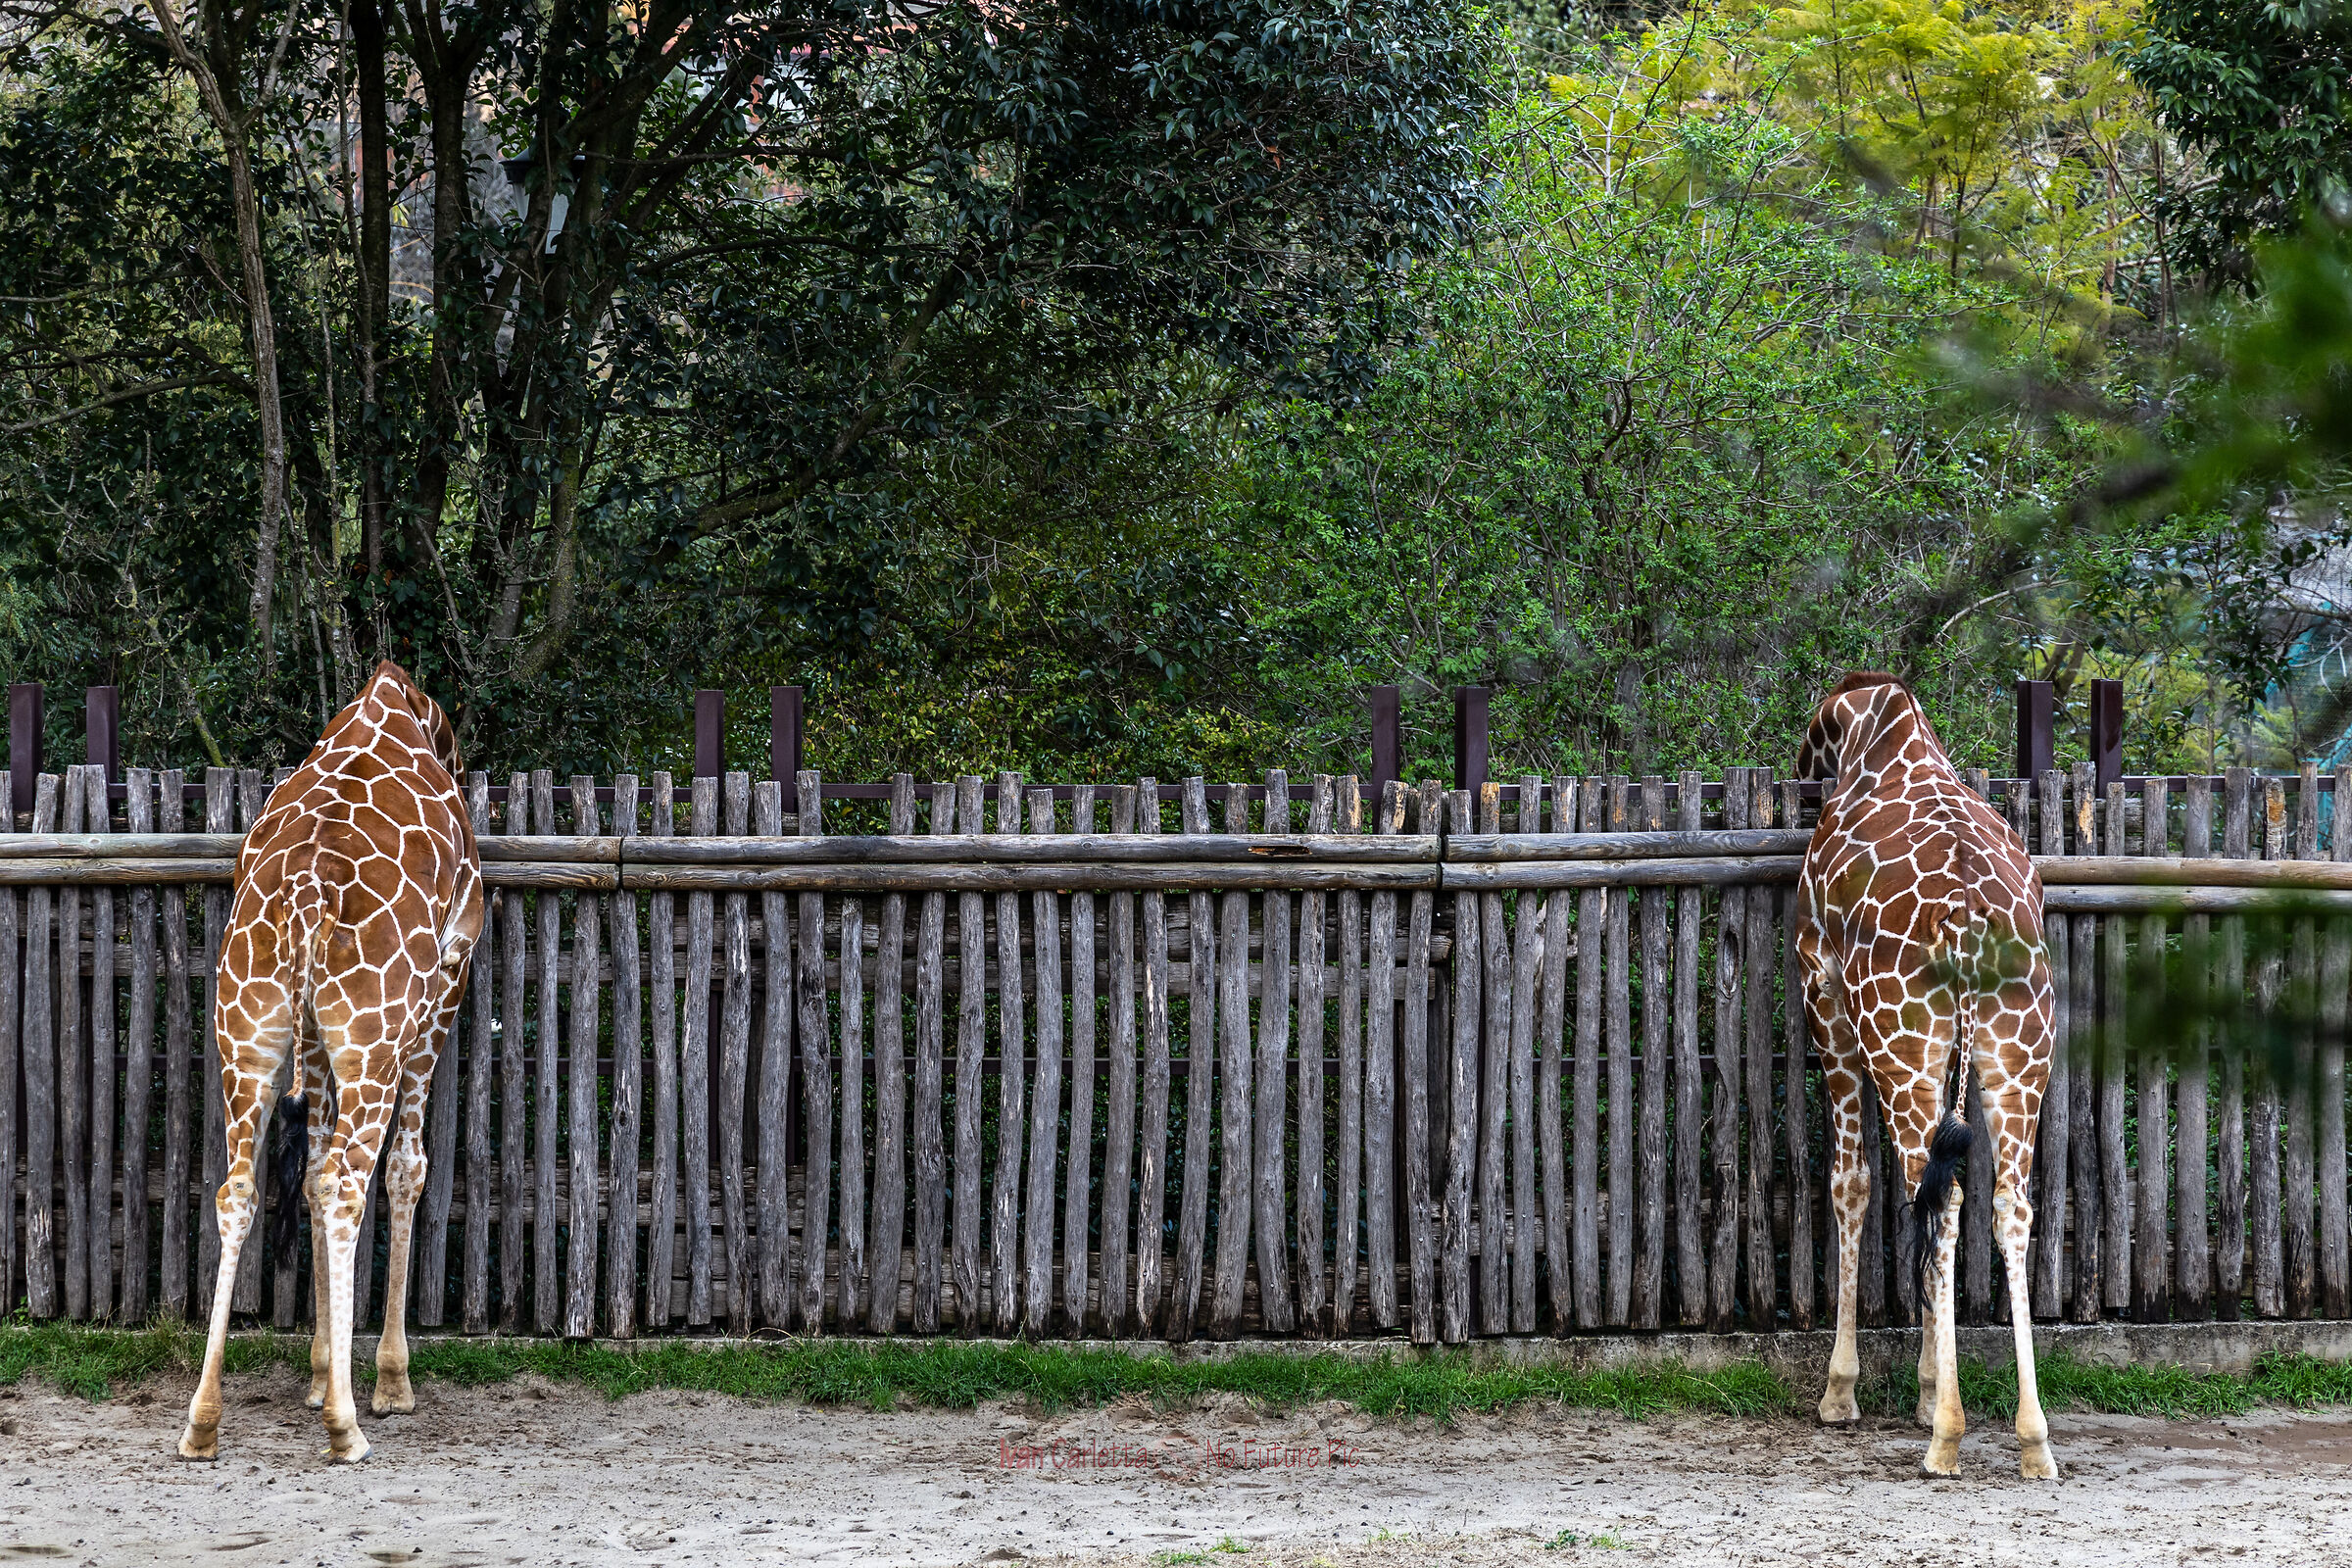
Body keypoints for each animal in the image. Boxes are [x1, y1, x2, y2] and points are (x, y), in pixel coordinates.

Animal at [179, 662, 484, 1464]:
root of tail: (309, 896)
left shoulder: (315, 1032)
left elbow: (310, 1172)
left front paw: (319, 1371)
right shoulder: (445, 982)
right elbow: (406, 1169)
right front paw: (388, 1382)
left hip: (246, 1029)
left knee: (240, 1189)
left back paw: (203, 1422)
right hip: (375, 1037)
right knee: (351, 1182)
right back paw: (347, 1427)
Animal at [1795, 672, 2058, 1481]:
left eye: (1812, 734)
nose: (1802, 765)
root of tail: (1969, 925)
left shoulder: (1825, 999)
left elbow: (1851, 1183)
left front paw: (1843, 1393)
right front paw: (1924, 1385)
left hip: (1899, 1039)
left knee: (1933, 1194)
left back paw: (1946, 1436)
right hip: (2020, 1050)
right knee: (2007, 1205)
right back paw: (2033, 1440)